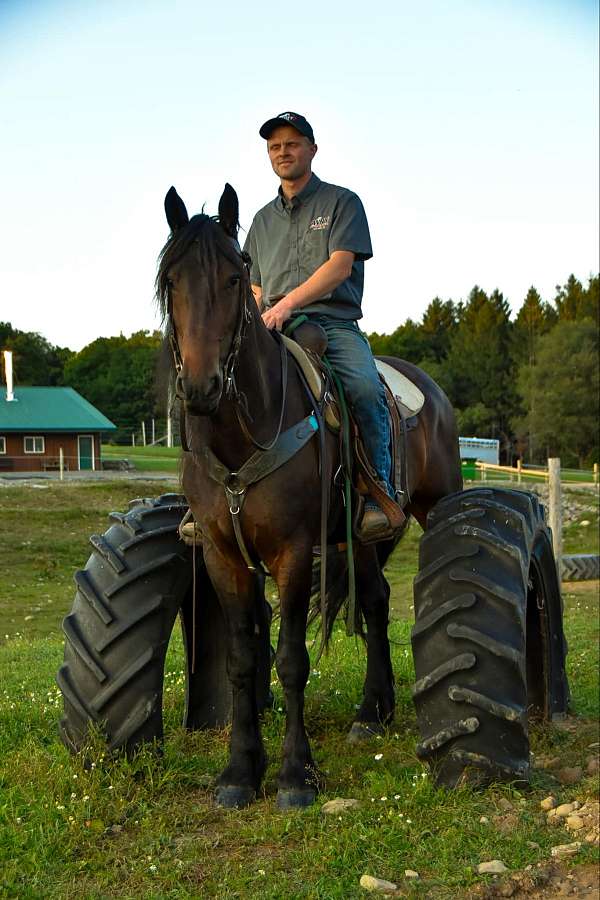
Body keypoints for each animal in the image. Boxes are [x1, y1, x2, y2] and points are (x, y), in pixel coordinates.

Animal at [157, 183, 462, 808]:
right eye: (172, 281)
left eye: (234, 277)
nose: (201, 388)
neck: (241, 436)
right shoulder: (223, 556)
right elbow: (243, 661)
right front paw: (239, 770)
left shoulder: (294, 552)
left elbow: (292, 660)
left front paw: (297, 773)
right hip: (363, 537)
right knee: (375, 599)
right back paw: (373, 711)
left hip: (433, 503)